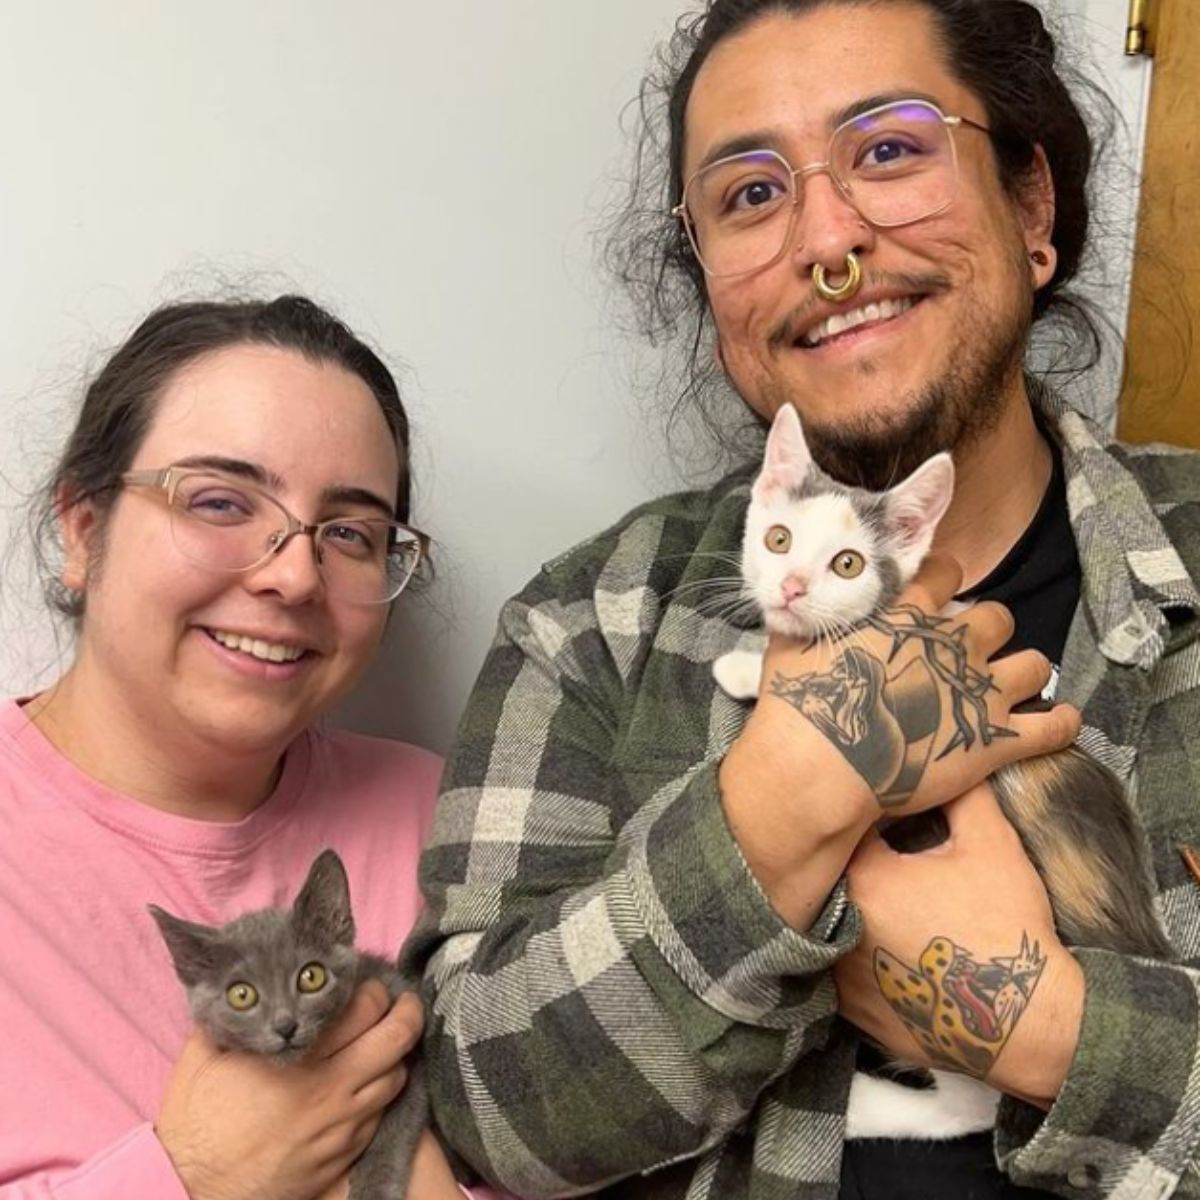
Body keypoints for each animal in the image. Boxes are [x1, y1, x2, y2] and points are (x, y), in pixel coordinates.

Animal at [152, 849, 427, 1195]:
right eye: (241, 995)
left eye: (312, 976)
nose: (285, 1026)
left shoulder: (405, 1013)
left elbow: (397, 1125)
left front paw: (374, 1188)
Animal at [710, 405, 1171, 1142]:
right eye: (778, 539)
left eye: (847, 564)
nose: (789, 587)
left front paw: (748, 666)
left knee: (969, 1106)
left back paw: (863, 1107)